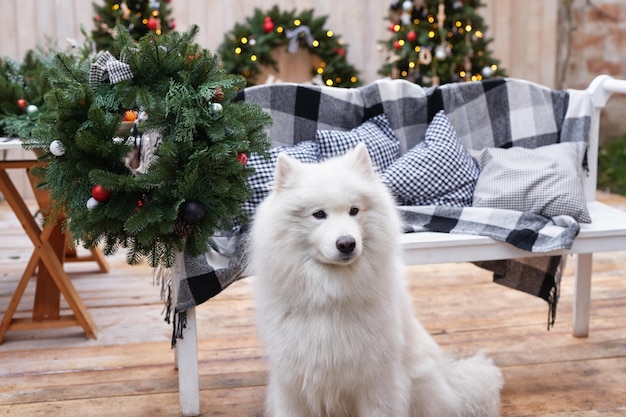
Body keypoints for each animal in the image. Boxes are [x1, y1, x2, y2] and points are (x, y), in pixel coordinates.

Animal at [249, 144, 502, 416]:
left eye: (354, 210)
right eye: (318, 214)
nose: (346, 243)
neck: (331, 293)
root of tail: (448, 380)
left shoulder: (377, 380)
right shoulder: (292, 383)